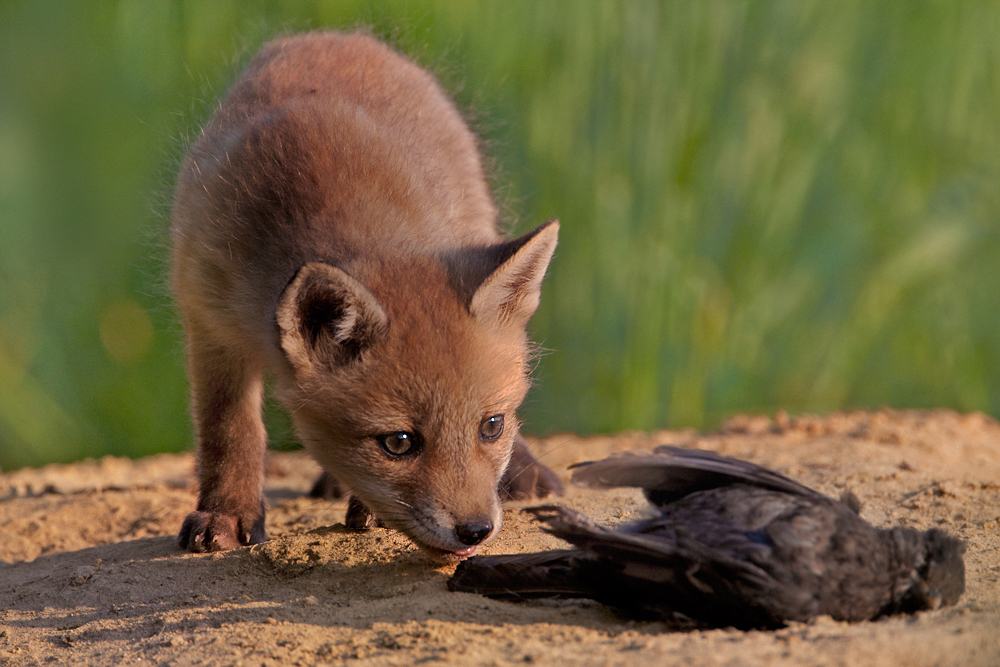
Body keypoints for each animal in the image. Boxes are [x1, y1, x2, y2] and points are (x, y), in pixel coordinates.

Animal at [173, 32, 564, 564]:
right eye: (398, 442)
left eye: (491, 426)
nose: (476, 531)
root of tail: (333, 35)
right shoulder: (209, 316)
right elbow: (229, 432)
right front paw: (228, 514)